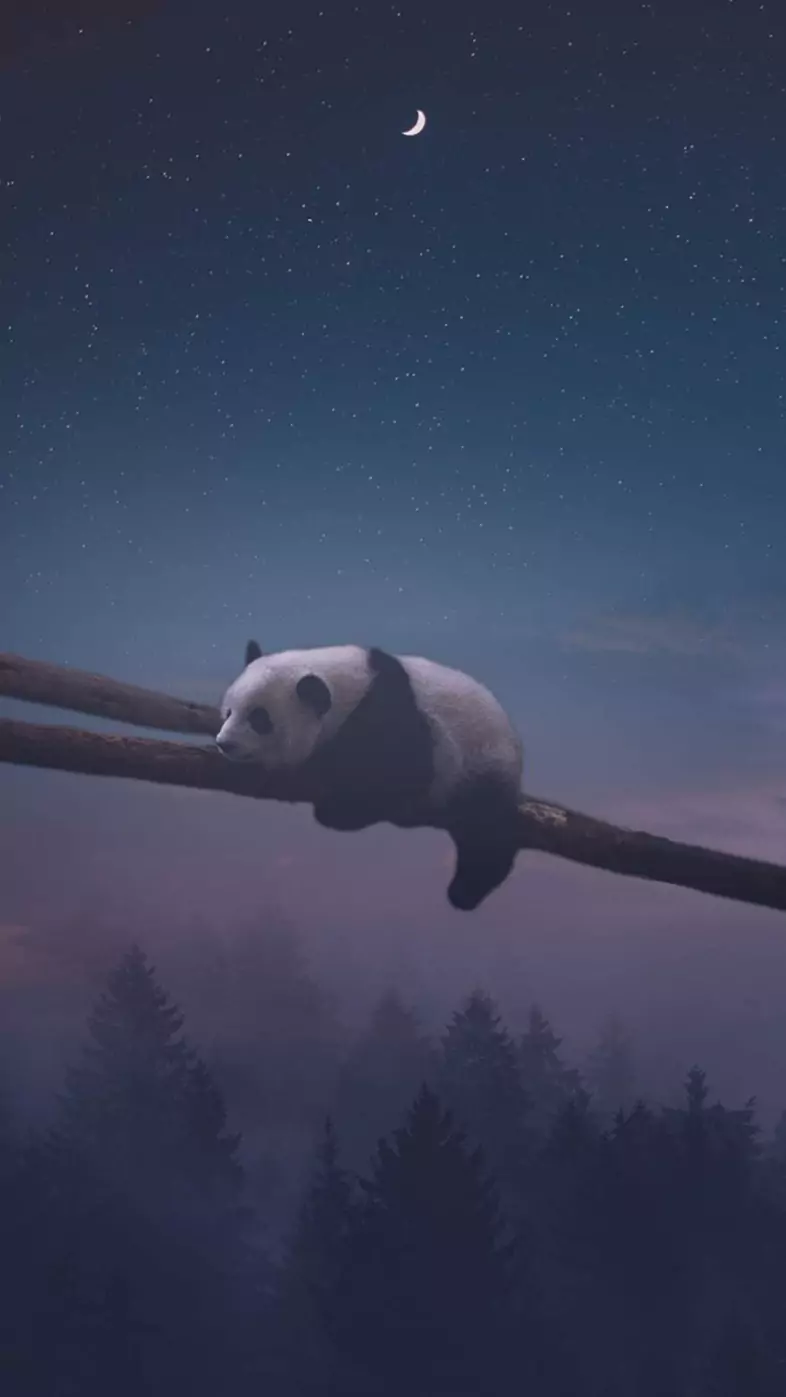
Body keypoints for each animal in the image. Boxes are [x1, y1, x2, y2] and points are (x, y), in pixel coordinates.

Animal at [215, 641, 523, 911]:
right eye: (228, 712)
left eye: (259, 719)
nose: (224, 743)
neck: (348, 687)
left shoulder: (393, 714)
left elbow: (403, 772)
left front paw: (336, 805)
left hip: (483, 764)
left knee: (486, 832)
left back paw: (466, 891)